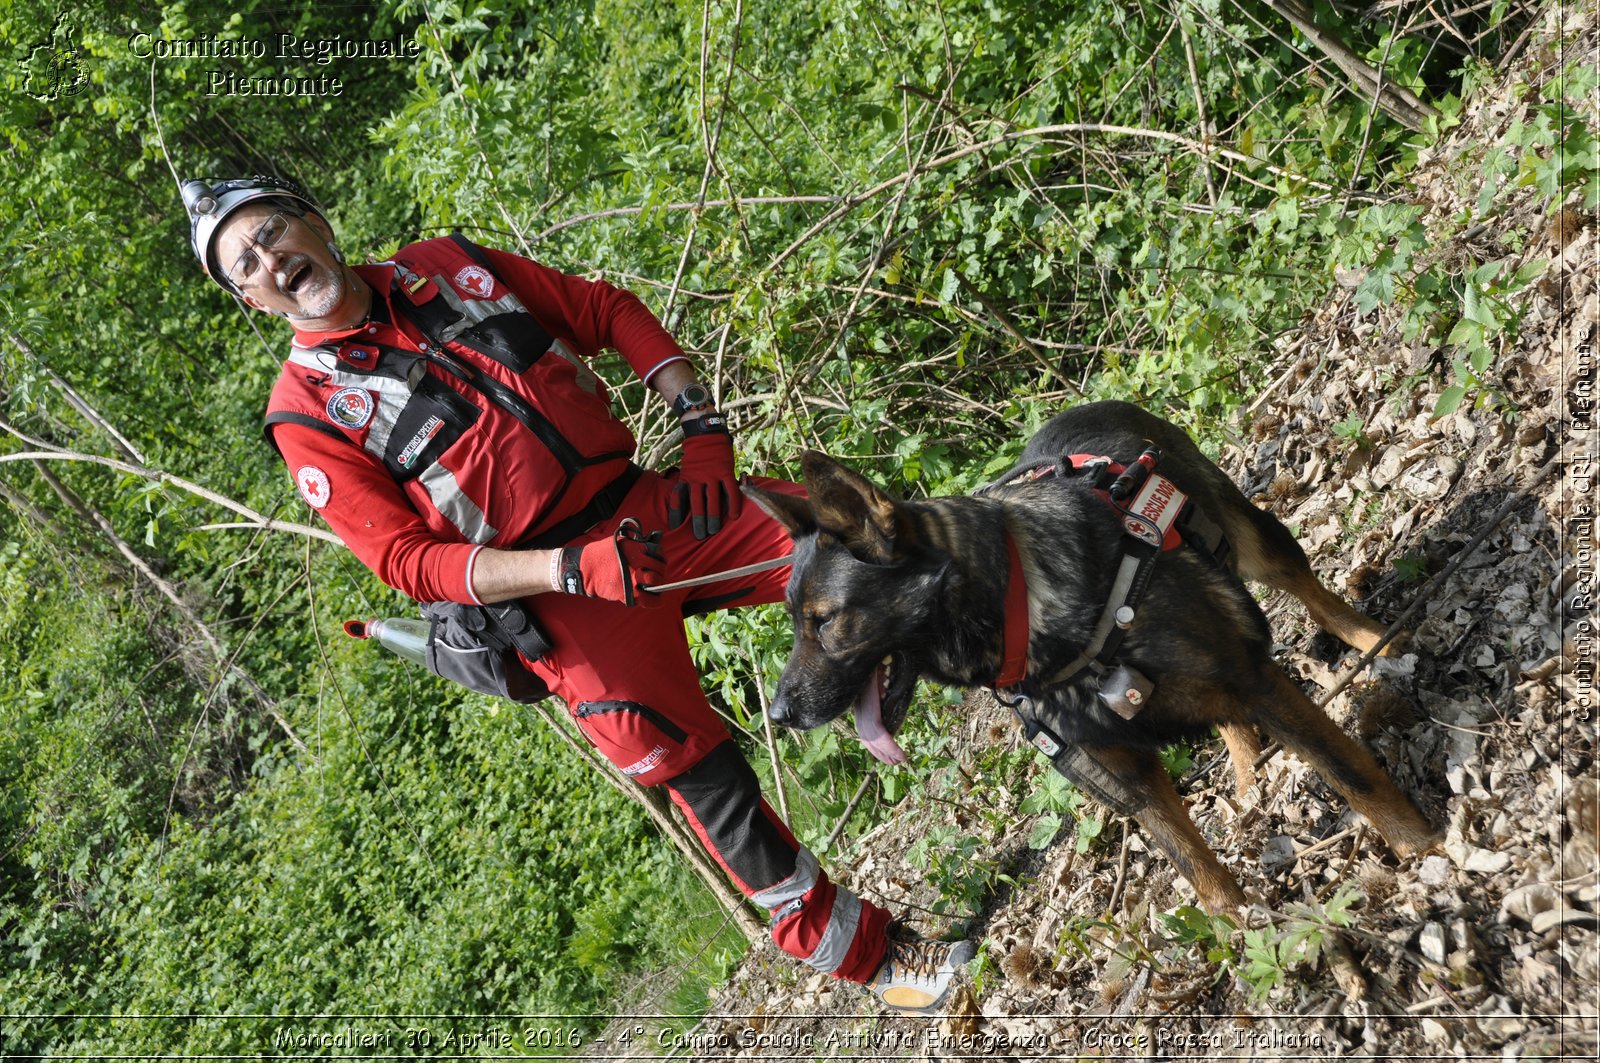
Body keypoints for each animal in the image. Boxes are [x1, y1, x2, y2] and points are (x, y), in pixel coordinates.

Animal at [745, 403, 1440, 909]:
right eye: (794, 622)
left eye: (824, 622)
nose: (778, 716)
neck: (1025, 614)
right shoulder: (1127, 779)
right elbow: (1199, 874)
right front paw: (1245, 939)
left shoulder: (1253, 680)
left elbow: (1353, 775)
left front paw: (1426, 852)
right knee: (1229, 724)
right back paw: (1247, 783)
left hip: (1255, 543)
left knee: (1310, 593)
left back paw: (1377, 641)